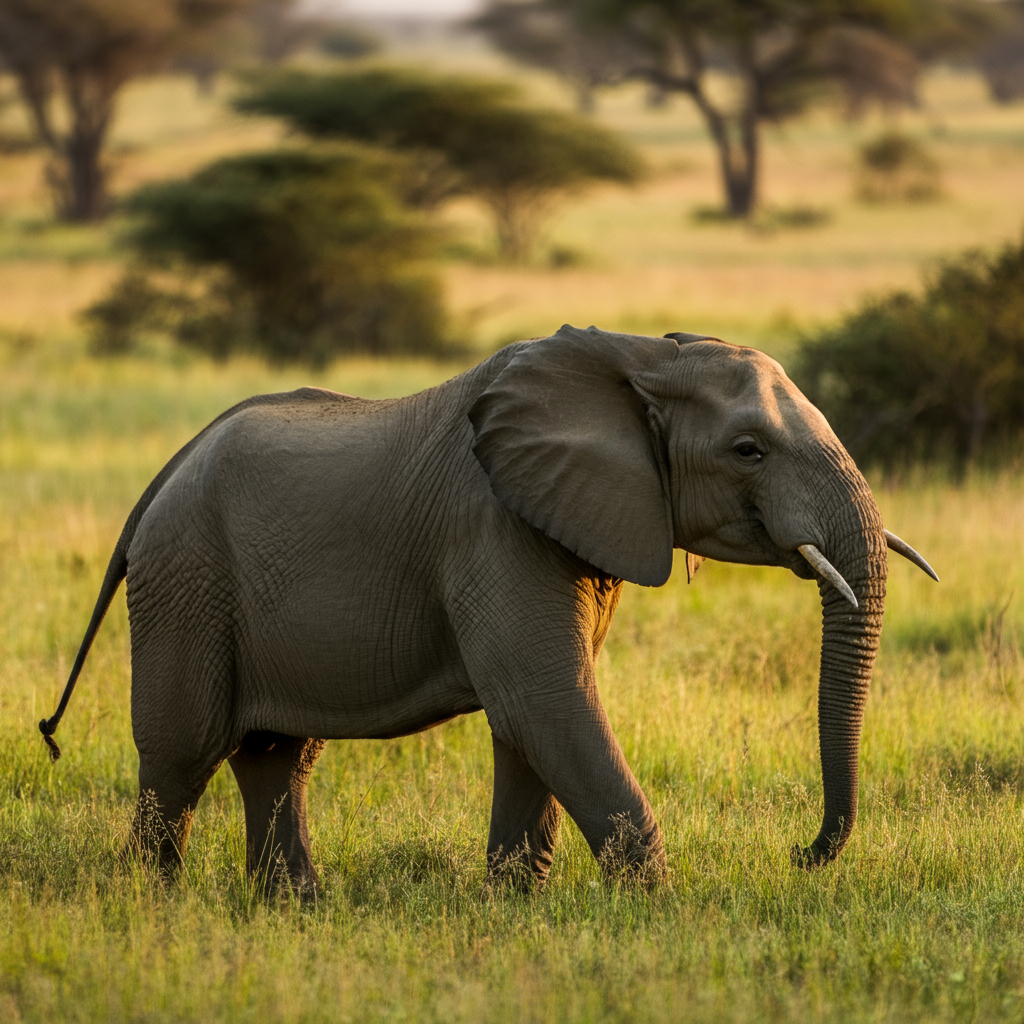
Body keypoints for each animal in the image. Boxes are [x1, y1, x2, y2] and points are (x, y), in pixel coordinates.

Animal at [39, 327, 937, 897]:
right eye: (748, 451)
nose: (801, 854)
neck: (642, 355)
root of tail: (165, 473)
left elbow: (528, 719)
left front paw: (510, 908)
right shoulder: (496, 528)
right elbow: (544, 702)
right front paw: (657, 912)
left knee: (276, 755)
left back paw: (294, 910)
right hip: (185, 581)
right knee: (181, 754)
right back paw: (155, 903)